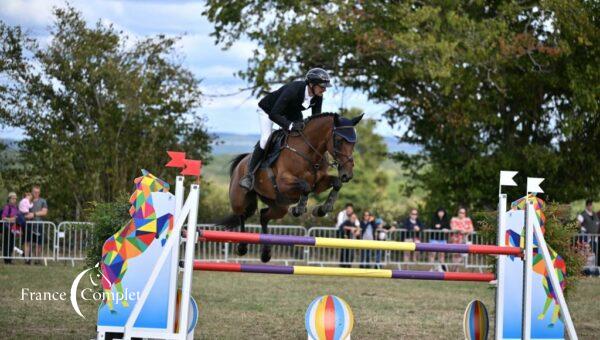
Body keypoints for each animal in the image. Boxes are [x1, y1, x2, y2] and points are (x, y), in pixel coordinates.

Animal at [219, 113, 360, 262]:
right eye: (339, 141)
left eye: (353, 143)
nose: (347, 174)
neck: (309, 152)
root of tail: (242, 161)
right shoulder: (283, 183)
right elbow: (305, 186)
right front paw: (299, 209)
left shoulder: (319, 183)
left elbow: (336, 183)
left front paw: (322, 209)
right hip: (239, 198)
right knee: (242, 214)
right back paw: (242, 247)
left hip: (279, 206)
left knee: (263, 216)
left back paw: (266, 253)